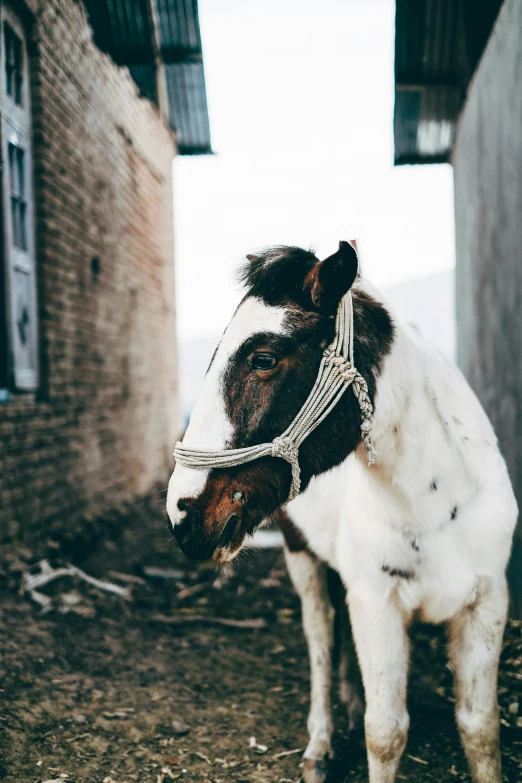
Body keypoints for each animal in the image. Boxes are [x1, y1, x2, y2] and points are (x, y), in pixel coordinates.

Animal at [167, 243, 516, 783]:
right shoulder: (377, 603)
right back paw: (321, 744)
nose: (183, 514)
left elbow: (479, 728)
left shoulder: (487, 602)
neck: (435, 507)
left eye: (263, 358)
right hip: (301, 557)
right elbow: (386, 732)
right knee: (320, 642)